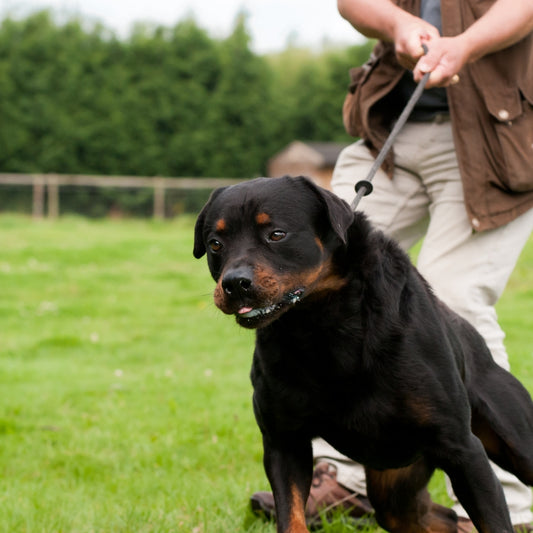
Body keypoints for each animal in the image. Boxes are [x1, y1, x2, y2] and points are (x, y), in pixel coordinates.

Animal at [193, 177, 532, 528]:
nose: (235, 283)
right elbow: (292, 518)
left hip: (513, 441)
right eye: (215, 243)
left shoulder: (462, 449)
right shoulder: (284, 442)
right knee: (439, 518)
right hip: (394, 491)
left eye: (277, 234)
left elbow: (495, 523)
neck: (320, 324)